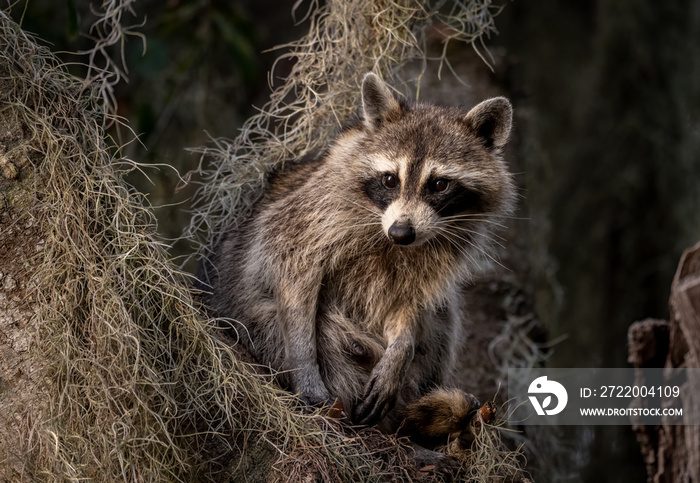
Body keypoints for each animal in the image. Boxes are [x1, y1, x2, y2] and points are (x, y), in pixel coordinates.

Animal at [202, 71, 516, 442]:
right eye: (390, 179)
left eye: (440, 184)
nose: (401, 232)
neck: (388, 236)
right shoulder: (309, 218)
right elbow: (292, 273)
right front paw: (304, 367)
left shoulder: (430, 259)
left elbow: (408, 304)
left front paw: (400, 351)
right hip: (258, 321)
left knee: (441, 318)